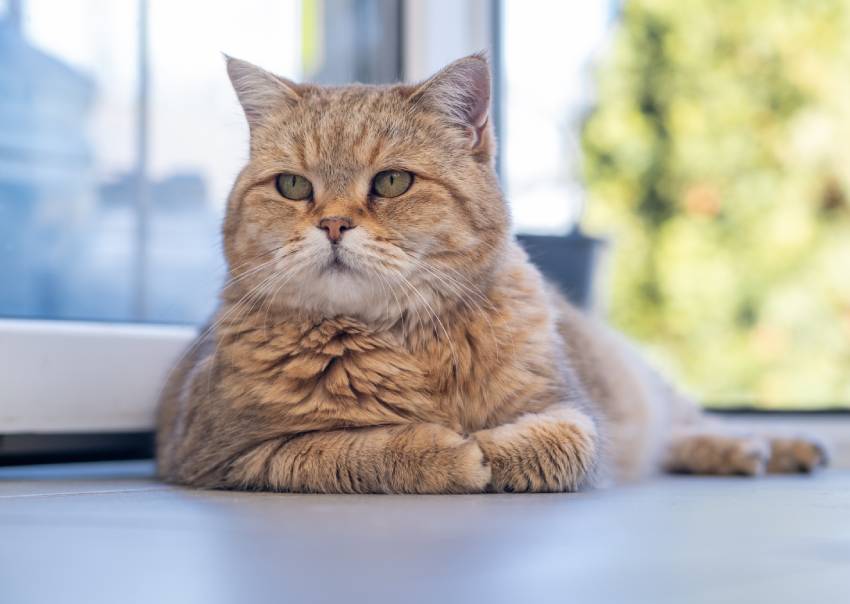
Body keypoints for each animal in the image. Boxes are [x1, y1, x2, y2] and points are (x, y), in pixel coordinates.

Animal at [154, 54, 828, 494]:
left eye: (392, 181)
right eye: (293, 186)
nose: (334, 225)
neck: (404, 340)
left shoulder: (572, 406)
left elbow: (569, 441)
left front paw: (495, 449)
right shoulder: (223, 455)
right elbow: (350, 448)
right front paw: (447, 451)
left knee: (687, 422)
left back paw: (769, 446)